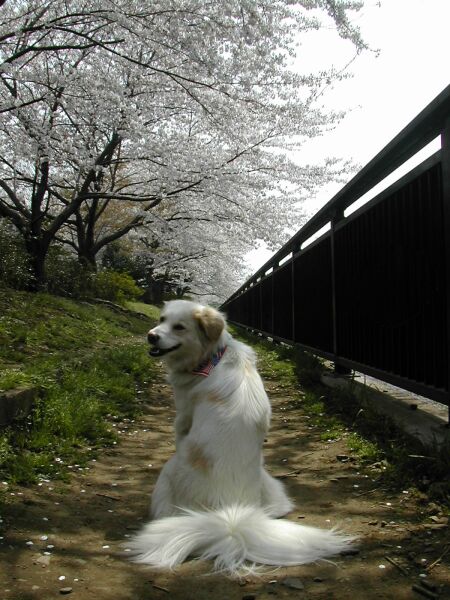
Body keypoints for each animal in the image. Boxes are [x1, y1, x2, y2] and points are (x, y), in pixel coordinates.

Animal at [129, 302, 356, 576]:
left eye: (179, 327)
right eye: (162, 319)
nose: (151, 335)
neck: (211, 357)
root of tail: (230, 514)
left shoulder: (182, 418)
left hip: (167, 473)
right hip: (271, 484)